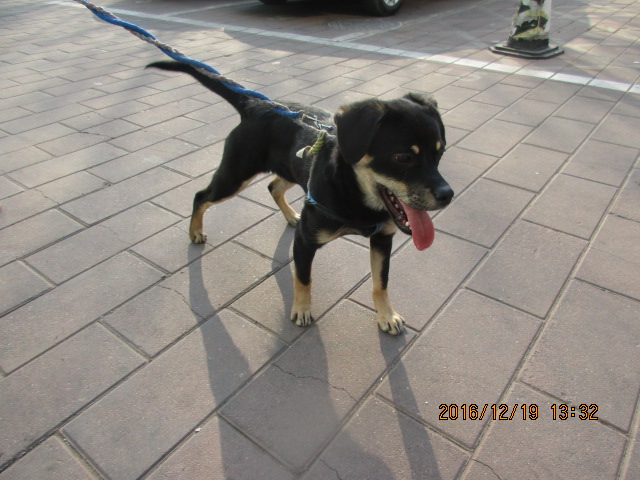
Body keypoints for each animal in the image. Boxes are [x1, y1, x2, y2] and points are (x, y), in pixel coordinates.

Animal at [147, 61, 453, 335]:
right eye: (402, 158)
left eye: (439, 152)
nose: (447, 195)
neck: (357, 199)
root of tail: (254, 105)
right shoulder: (306, 241)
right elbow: (304, 279)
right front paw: (302, 311)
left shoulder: (382, 238)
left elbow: (381, 282)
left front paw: (386, 315)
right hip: (235, 175)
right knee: (201, 196)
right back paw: (196, 231)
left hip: (288, 169)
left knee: (273, 187)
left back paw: (290, 215)